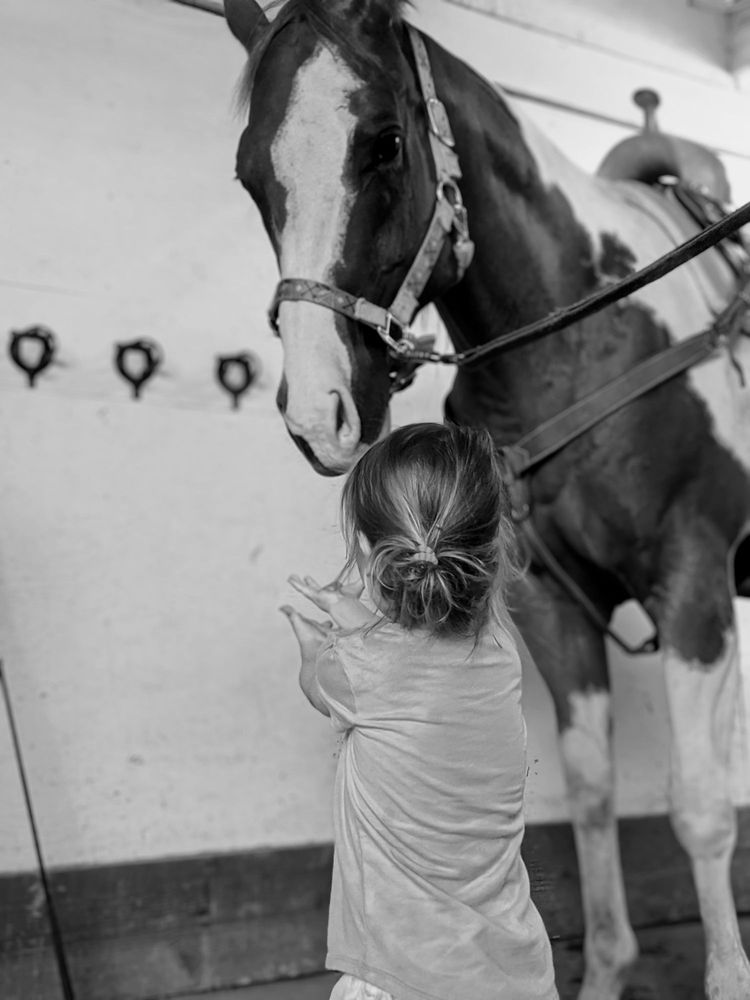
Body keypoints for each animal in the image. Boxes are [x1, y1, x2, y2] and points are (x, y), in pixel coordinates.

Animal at [223, 1, 750, 996]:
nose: (319, 413)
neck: (586, 333)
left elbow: (701, 806)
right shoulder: (553, 606)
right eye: (249, 173)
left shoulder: (694, 579)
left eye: (384, 144)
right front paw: (607, 970)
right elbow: (592, 792)